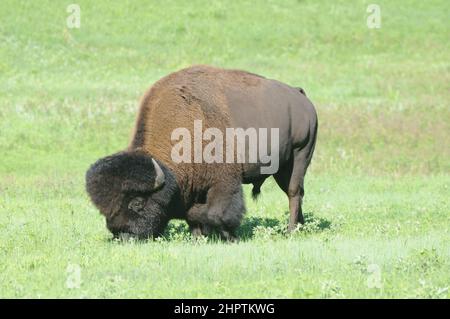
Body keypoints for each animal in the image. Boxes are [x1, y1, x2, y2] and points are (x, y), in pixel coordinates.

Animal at [84, 65, 316, 240]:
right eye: (105, 209)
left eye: (137, 203)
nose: (123, 236)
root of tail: (300, 97)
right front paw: (199, 237)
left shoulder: (224, 182)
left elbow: (216, 211)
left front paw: (229, 236)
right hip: (282, 168)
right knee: (295, 193)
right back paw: (301, 227)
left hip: (300, 155)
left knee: (294, 192)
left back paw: (291, 231)